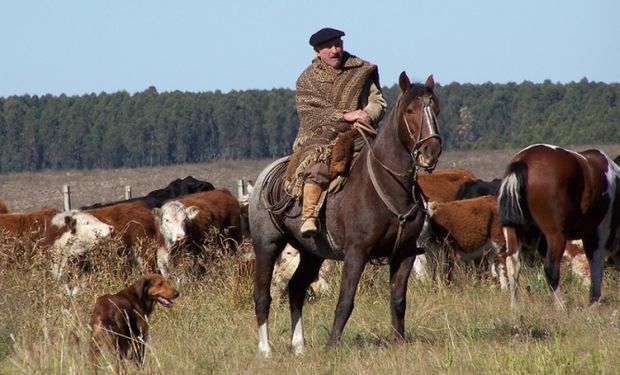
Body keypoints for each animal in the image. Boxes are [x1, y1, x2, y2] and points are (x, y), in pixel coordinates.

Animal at [247, 72, 440, 356]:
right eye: (410, 110)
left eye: (435, 109)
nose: (431, 151)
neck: (388, 185)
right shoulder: (356, 253)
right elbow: (345, 301)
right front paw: (332, 347)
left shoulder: (404, 253)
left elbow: (398, 300)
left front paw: (399, 343)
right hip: (267, 246)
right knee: (262, 294)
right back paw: (265, 349)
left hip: (311, 253)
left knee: (296, 289)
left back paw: (299, 346)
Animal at [498, 144, 620, 308]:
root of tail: (523, 159)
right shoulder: (598, 234)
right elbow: (596, 265)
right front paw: (594, 302)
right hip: (555, 235)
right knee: (551, 267)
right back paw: (561, 306)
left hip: (515, 232)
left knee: (513, 265)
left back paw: (515, 306)